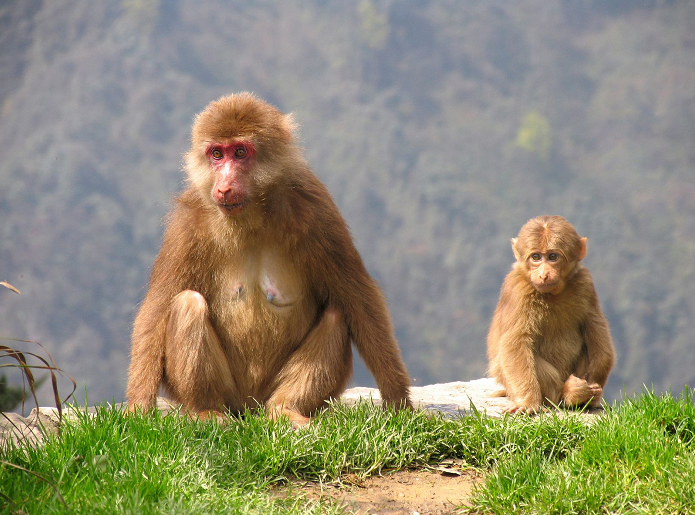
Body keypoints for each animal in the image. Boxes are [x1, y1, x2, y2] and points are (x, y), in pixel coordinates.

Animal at [126, 92, 414, 428]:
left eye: (240, 152)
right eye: (216, 154)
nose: (224, 185)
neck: (251, 216)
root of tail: (249, 409)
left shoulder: (317, 210)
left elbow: (358, 297)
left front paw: (399, 401)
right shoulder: (186, 225)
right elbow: (157, 308)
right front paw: (138, 409)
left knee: (336, 315)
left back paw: (285, 408)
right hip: (230, 394)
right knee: (188, 303)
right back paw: (205, 410)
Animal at [486, 216, 616, 414]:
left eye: (553, 257)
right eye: (536, 257)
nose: (543, 274)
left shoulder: (585, 282)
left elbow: (595, 324)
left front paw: (595, 384)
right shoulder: (517, 291)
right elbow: (515, 342)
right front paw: (527, 402)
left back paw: (582, 396)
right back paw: (569, 393)